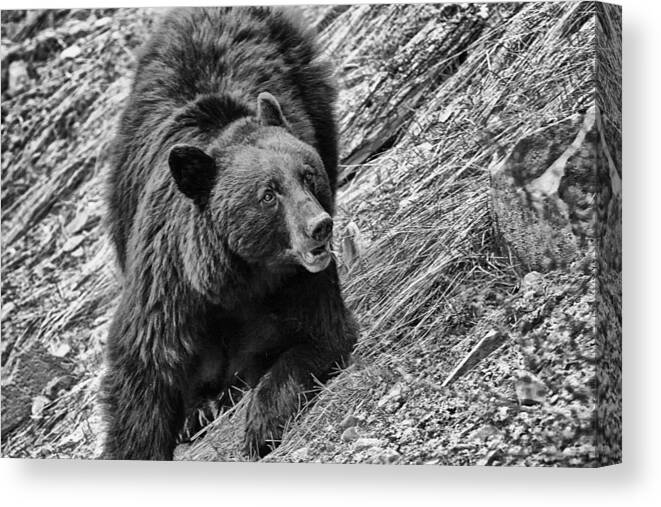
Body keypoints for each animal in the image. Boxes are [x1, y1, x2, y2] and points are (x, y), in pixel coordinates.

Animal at [100, 6, 356, 460]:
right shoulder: (168, 285)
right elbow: (143, 373)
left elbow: (320, 336)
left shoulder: (296, 283)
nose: (319, 226)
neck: (236, 277)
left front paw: (260, 423)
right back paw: (200, 407)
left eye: (307, 176)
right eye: (268, 194)